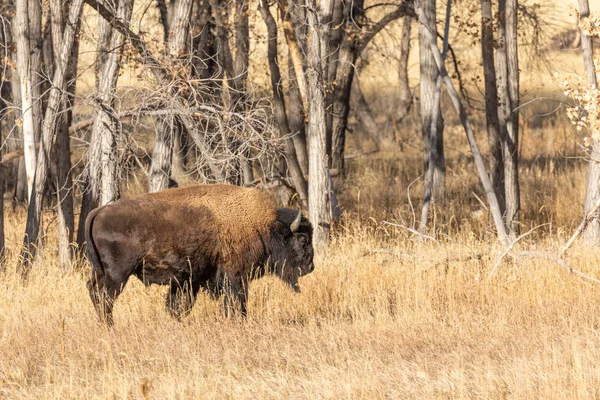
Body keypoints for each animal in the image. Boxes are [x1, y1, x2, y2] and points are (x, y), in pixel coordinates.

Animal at [86, 184, 316, 324]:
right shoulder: (235, 276)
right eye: (302, 240)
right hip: (118, 275)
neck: (261, 226)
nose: (310, 267)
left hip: (101, 272)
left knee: (94, 291)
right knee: (105, 298)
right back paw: (110, 326)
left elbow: (178, 306)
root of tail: (99, 211)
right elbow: (237, 302)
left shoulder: (190, 280)